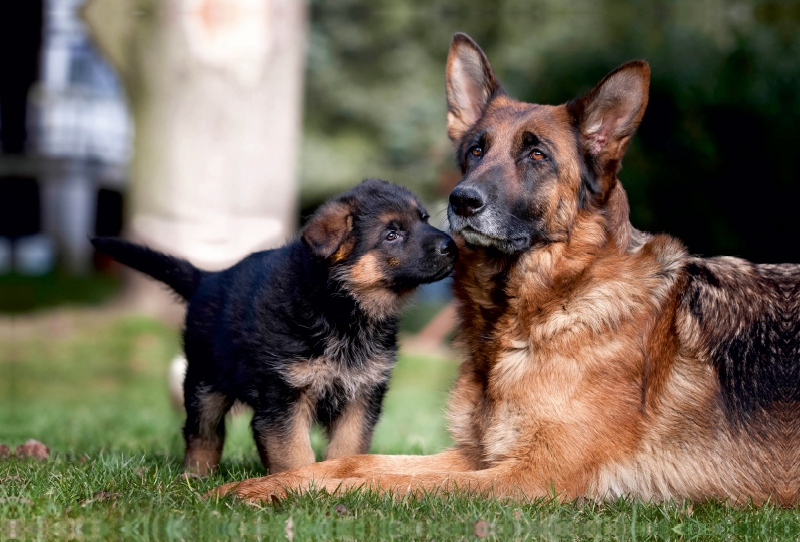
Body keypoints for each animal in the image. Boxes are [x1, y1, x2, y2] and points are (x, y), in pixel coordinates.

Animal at [91, 180, 456, 476]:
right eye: (392, 235)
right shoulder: (283, 397)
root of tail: (209, 278)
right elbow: (293, 452)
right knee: (203, 433)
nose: (451, 246)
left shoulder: (362, 396)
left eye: (424, 219)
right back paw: (195, 477)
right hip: (205, 381)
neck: (339, 308)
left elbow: (347, 448)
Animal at [214, 36, 800, 508]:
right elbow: (357, 462)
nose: (461, 202)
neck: (551, 304)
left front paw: (277, 491)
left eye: (536, 156)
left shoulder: (530, 476)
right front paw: (266, 483)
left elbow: (375, 479)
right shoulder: (478, 456)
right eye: (476, 150)